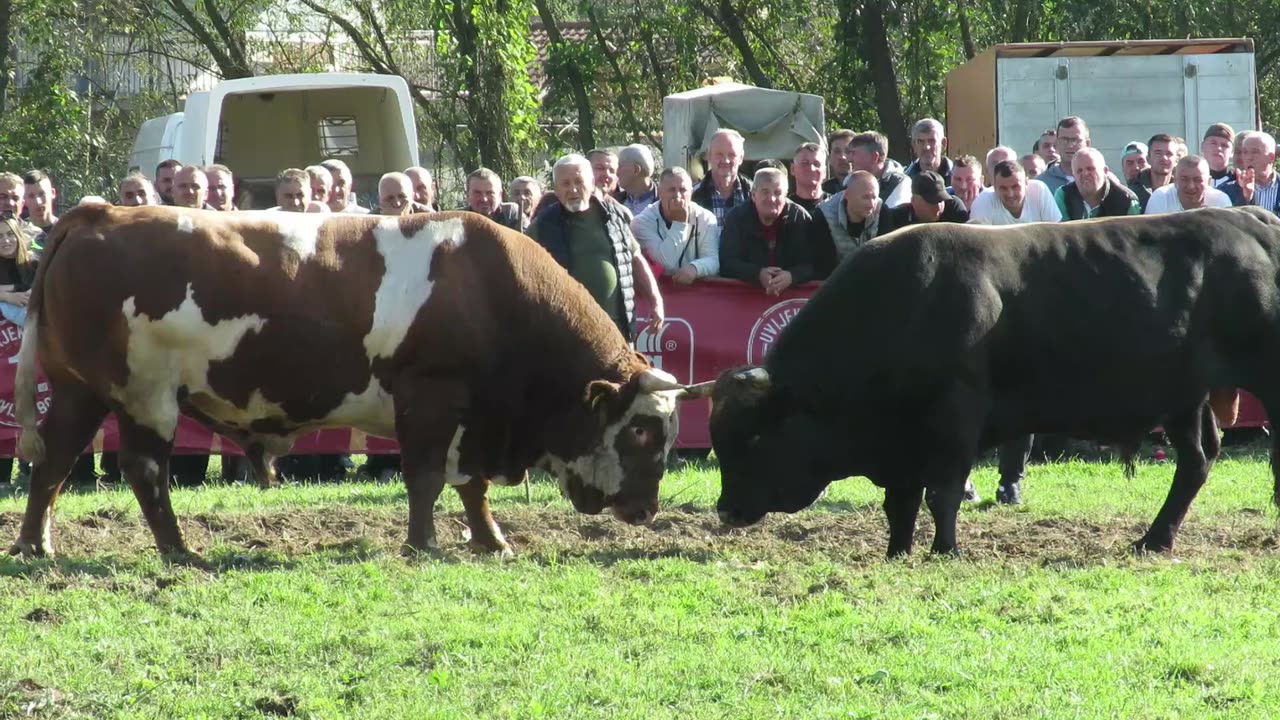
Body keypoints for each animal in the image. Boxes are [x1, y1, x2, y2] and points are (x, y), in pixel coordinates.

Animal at [12, 202, 711, 556]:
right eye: (642, 433)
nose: (646, 509)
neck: (491, 288)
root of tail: (100, 212)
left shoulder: (474, 420)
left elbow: (472, 484)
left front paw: (490, 541)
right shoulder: (431, 398)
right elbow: (428, 477)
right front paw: (424, 545)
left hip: (80, 391)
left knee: (53, 462)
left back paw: (35, 545)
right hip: (145, 395)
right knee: (143, 471)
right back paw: (179, 551)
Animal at [711, 206, 1280, 556]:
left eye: (754, 437)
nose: (726, 509)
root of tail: (1249, 219)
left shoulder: (955, 417)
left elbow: (941, 493)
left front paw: (945, 550)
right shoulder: (901, 443)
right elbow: (900, 504)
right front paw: (898, 551)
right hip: (1187, 396)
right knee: (1197, 460)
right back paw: (1154, 539)